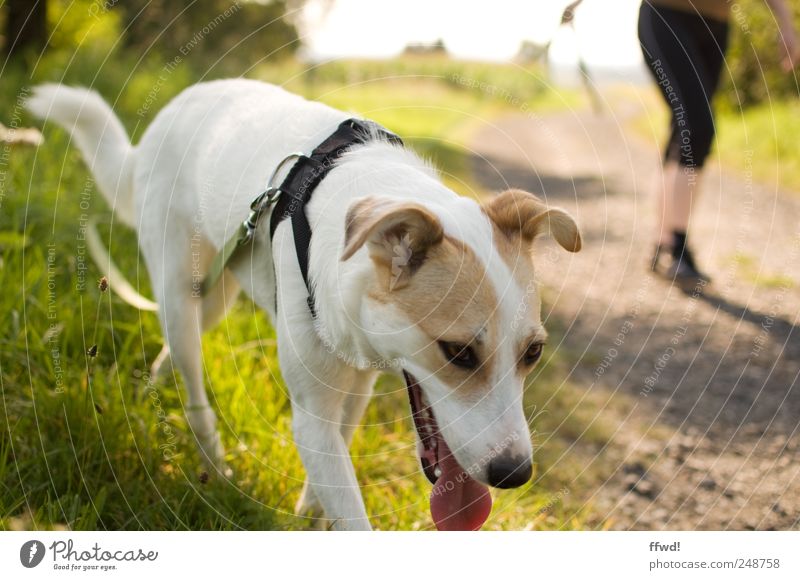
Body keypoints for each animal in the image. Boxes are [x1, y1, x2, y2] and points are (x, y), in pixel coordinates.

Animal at [29, 80, 580, 532]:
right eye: (458, 352)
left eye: (533, 353)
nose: (515, 473)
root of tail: (167, 115)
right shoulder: (312, 415)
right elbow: (350, 513)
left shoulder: (357, 383)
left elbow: (329, 475)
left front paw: (309, 517)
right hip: (179, 289)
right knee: (193, 380)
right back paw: (214, 464)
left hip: (214, 295)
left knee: (175, 350)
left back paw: (153, 385)